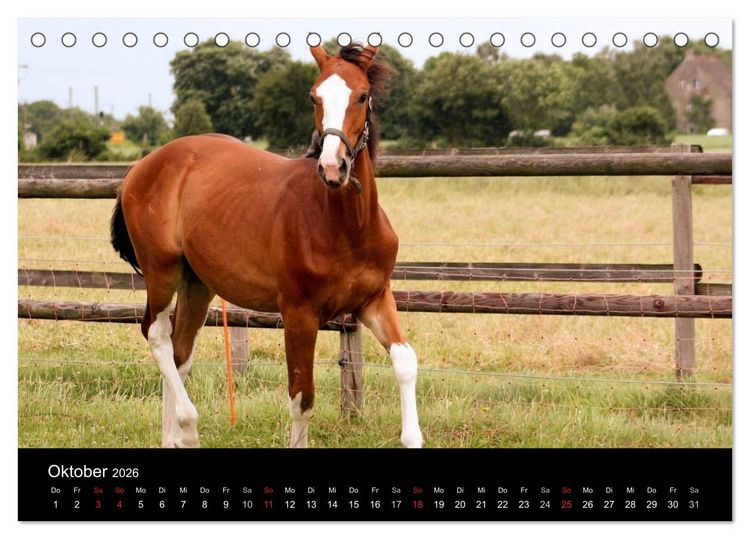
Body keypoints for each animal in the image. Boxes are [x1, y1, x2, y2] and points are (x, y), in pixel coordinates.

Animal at [110, 43, 423, 449]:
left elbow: (405, 360)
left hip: (197, 283)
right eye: (314, 96)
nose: (332, 168)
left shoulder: (374, 299)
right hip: (161, 270)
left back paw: (172, 438)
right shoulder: (299, 314)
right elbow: (302, 399)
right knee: (158, 336)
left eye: (363, 95)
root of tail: (142, 165)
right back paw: (187, 427)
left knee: (180, 351)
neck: (347, 227)